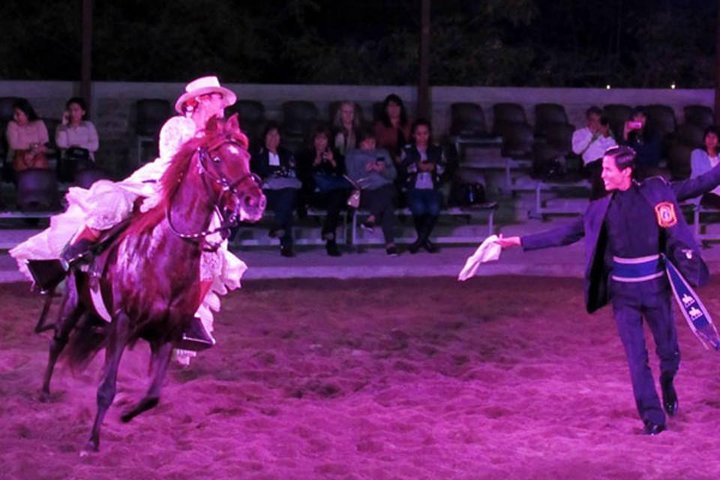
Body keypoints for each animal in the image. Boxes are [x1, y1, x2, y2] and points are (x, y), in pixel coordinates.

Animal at [39, 115, 266, 454]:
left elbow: (153, 395)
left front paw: (127, 414)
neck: (162, 253)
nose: (256, 201)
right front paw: (92, 441)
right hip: (73, 303)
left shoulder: (168, 334)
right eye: (217, 159)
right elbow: (106, 387)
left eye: (248, 157)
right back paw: (43, 391)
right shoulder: (122, 322)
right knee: (57, 342)